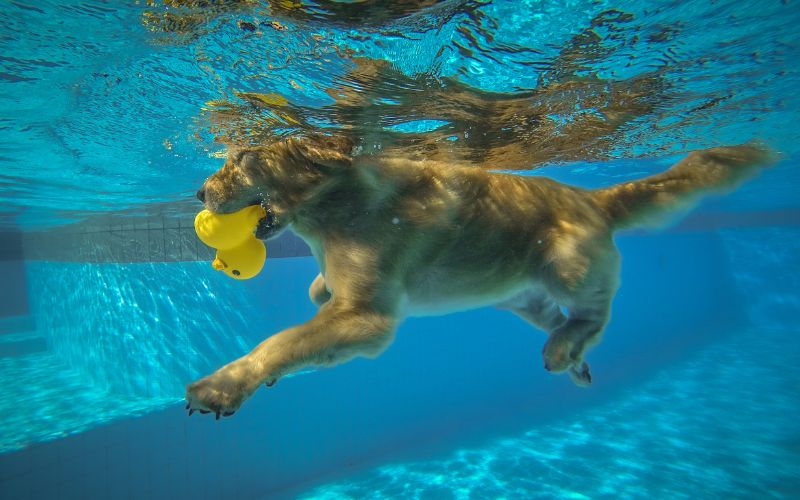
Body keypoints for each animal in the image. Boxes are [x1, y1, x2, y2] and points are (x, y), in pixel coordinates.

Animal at [184, 136, 772, 418]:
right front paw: (315, 289)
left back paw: (565, 349)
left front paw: (222, 385)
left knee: (596, 311)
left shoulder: (365, 318)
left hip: (565, 263)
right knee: (560, 319)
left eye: (244, 156)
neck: (331, 207)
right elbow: (312, 304)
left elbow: (283, 341)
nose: (198, 192)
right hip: (519, 295)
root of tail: (593, 196)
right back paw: (573, 358)